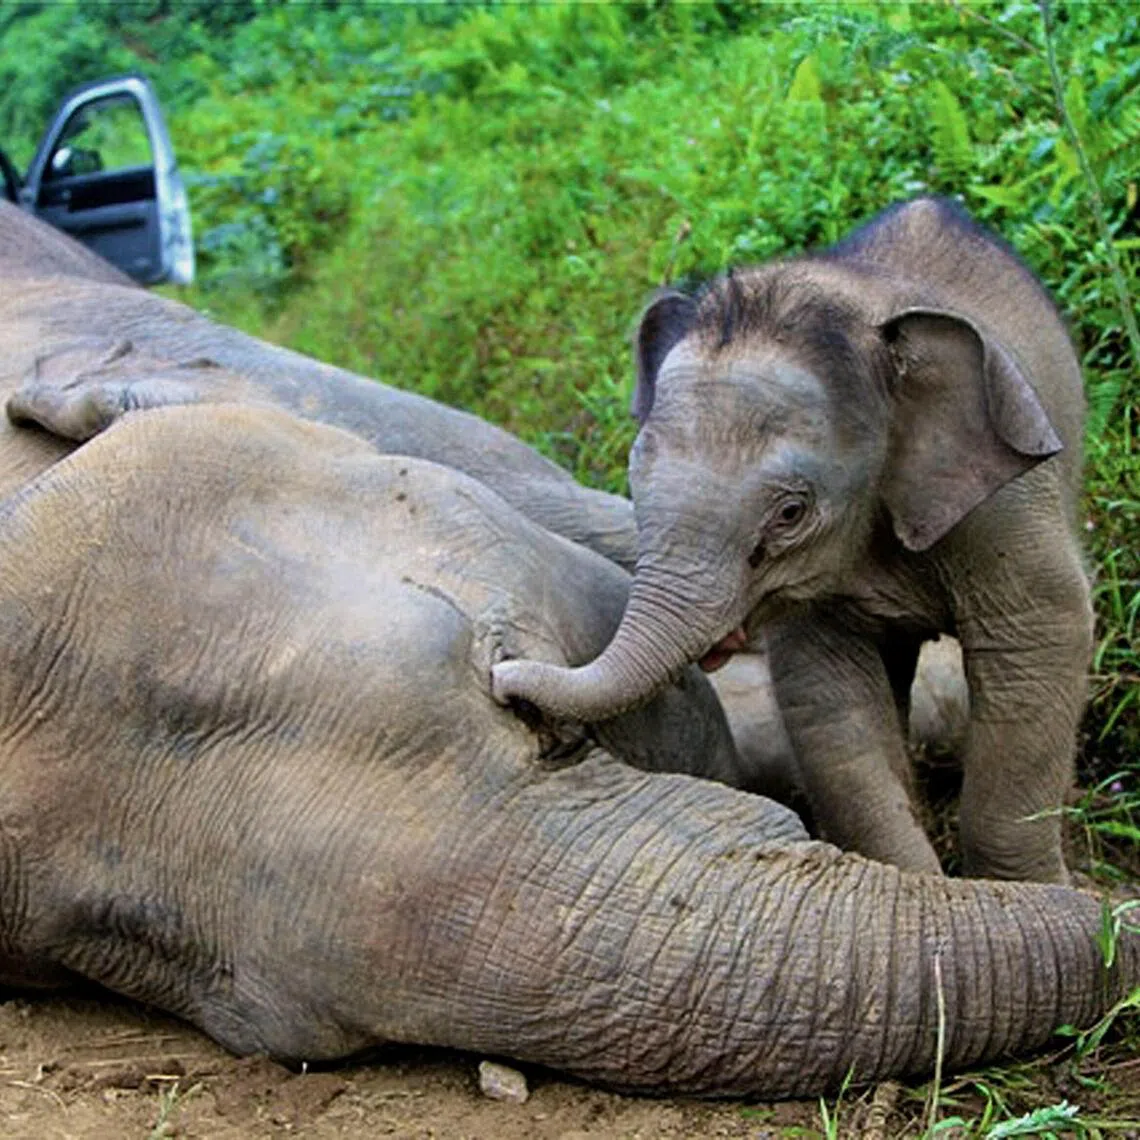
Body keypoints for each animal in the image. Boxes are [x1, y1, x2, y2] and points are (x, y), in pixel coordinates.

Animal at [493, 197, 1093, 884]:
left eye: (790, 512)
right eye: (632, 480)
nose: (503, 679)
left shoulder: (1004, 503)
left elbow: (1040, 638)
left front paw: (1033, 891)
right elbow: (828, 697)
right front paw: (916, 884)